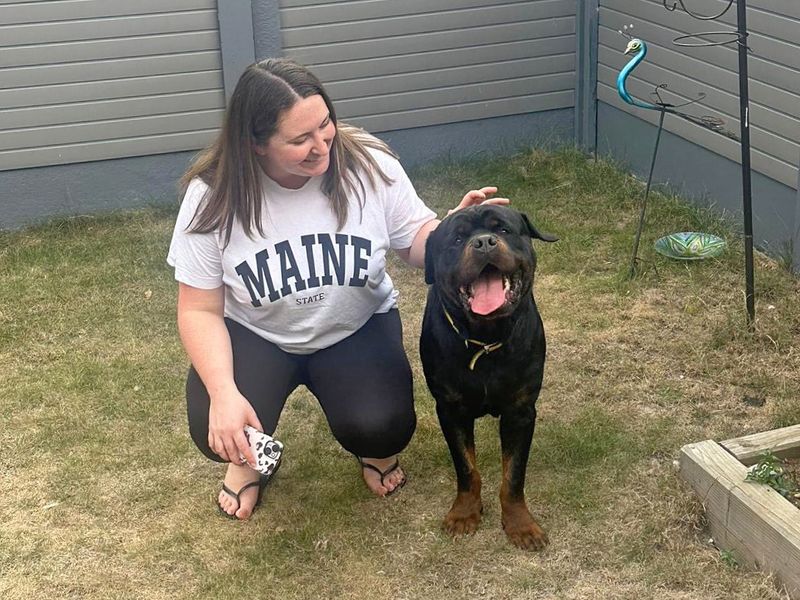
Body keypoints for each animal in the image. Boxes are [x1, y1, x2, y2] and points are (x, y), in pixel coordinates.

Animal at [418, 205, 556, 548]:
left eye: (503, 230)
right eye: (456, 238)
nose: (483, 242)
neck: (486, 339)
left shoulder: (520, 411)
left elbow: (514, 474)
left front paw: (521, 524)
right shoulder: (451, 410)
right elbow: (466, 468)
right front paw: (464, 513)